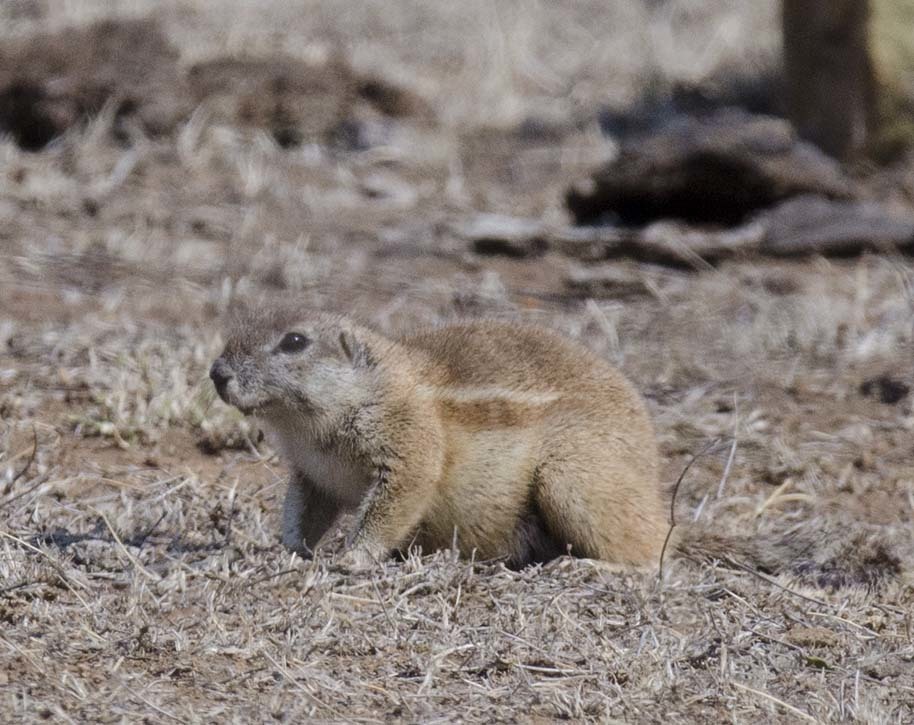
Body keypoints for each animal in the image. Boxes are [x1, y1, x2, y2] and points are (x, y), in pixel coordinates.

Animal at [208, 308, 664, 568]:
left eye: (295, 341)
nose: (216, 372)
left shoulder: (408, 438)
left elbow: (396, 499)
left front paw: (351, 559)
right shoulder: (311, 472)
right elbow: (301, 510)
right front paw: (288, 550)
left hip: (571, 476)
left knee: (652, 554)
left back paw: (586, 566)